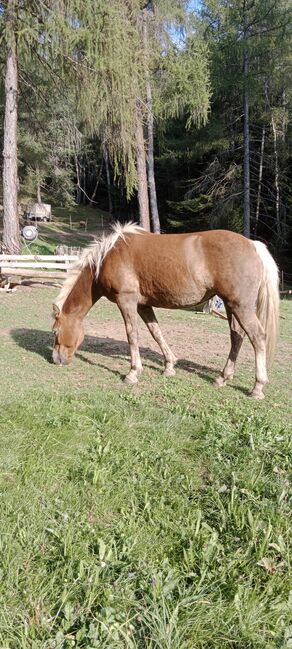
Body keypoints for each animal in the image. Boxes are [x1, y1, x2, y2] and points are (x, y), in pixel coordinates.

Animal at [52, 223, 278, 400]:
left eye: (55, 332)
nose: (56, 360)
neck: (108, 257)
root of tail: (253, 245)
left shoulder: (126, 301)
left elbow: (132, 335)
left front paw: (133, 373)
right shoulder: (143, 305)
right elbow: (156, 332)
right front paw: (169, 366)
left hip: (241, 306)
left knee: (257, 337)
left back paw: (257, 387)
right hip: (232, 306)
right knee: (237, 337)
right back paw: (222, 378)